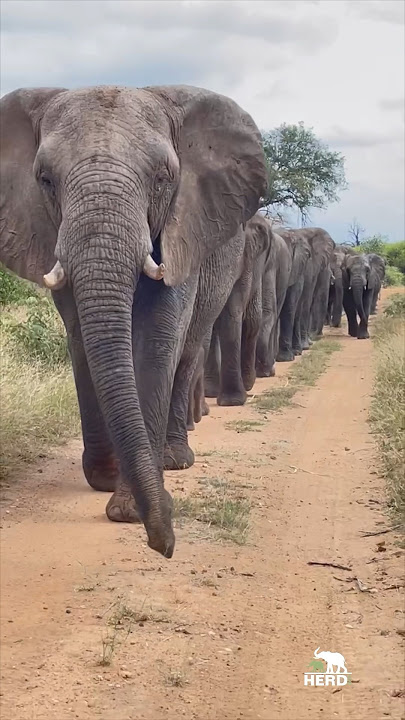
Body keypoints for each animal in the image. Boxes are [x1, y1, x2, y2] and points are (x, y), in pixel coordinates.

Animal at [0, 85, 267, 557]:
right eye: (45, 180)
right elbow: (81, 338)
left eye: (163, 178)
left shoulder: (183, 227)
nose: (166, 544)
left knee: (190, 350)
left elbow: (158, 338)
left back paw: (174, 460)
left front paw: (128, 509)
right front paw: (106, 480)